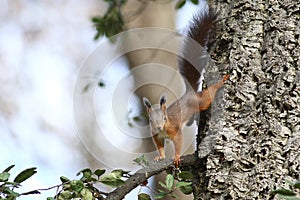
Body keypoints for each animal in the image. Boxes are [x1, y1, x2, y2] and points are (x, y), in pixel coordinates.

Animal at [143, 7, 230, 167]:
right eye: (150, 120)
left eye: (165, 118)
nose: (159, 127)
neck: (164, 129)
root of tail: (189, 93)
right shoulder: (156, 135)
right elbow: (159, 146)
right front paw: (160, 157)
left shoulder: (174, 129)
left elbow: (178, 141)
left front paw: (177, 156)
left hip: (200, 102)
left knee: (208, 97)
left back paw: (221, 82)